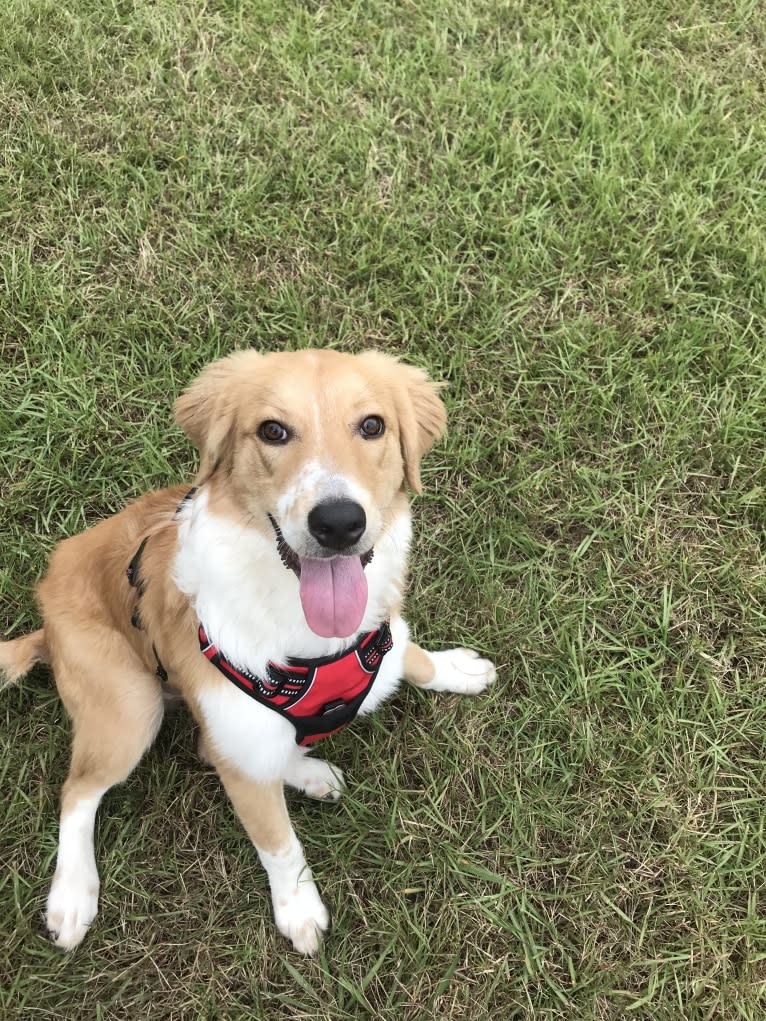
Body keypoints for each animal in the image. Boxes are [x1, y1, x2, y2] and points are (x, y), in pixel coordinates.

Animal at [1, 351, 498, 955]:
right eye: (273, 431)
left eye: (372, 426)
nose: (338, 523)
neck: (310, 633)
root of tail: (45, 622)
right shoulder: (240, 756)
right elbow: (278, 844)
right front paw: (299, 910)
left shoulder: (383, 636)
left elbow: (412, 656)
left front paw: (455, 669)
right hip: (131, 708)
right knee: (80, 791)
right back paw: (72, 895)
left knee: (210, 750)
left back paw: (309, 773)